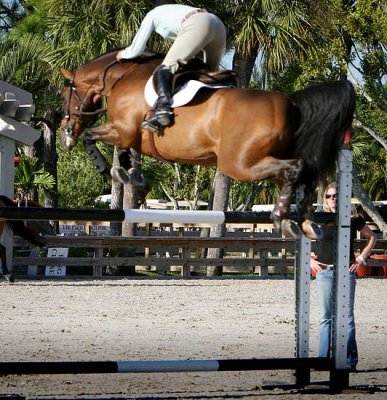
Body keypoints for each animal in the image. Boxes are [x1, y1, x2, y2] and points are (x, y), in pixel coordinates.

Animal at [58, 50, 358, 238]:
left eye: (63, 95)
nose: (64, 133)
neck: (122, 76)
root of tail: (291, 103)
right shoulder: (128, 133)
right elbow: (124, 150)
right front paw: (131, 173)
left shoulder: (122, 129)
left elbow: (93, 137)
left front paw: (110, 168)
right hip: (262, 162)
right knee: (303, 173)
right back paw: (304, 223)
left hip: (239, 164)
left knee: (297, 168)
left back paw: (281, 219)